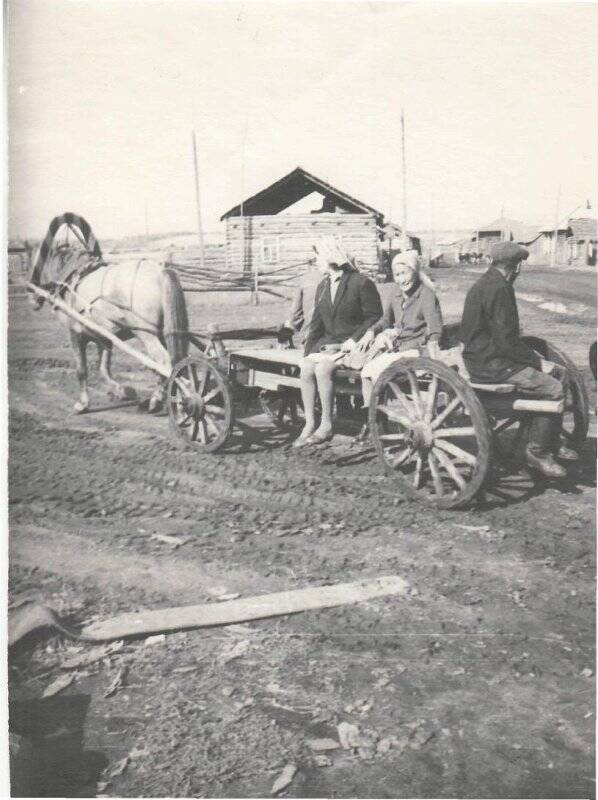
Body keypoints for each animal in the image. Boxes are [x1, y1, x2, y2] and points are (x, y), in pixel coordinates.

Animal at [27, 212, 188, 412]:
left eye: (35, 264)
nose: (31, 297)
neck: (72, 278)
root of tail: (159, 272)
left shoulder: (75, 334)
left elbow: (82, 370)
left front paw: (82, 404)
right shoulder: (103, 337)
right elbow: (103, 369)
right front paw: (122, 391)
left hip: (146, 333)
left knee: (164, 362)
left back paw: (157, 400)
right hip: (163, 332)